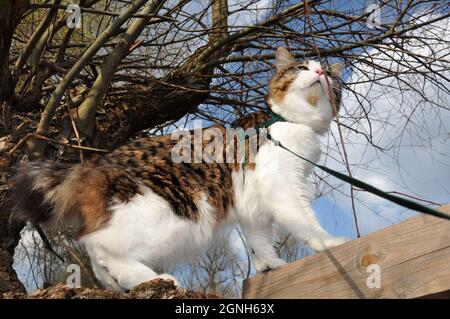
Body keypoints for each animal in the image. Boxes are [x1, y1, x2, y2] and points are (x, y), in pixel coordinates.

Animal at [7, 47, 348, 292]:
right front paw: (330, 243)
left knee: (96, 253)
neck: (291, 123)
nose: (320, 71)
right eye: (302, 68)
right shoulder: (283, 188)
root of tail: (92, 164)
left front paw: (271, 265)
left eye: (329, 76)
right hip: (171, 217)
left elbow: (259, 240)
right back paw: (153, 279)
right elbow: (305, 222)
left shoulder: (254, 205)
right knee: (98, 245)